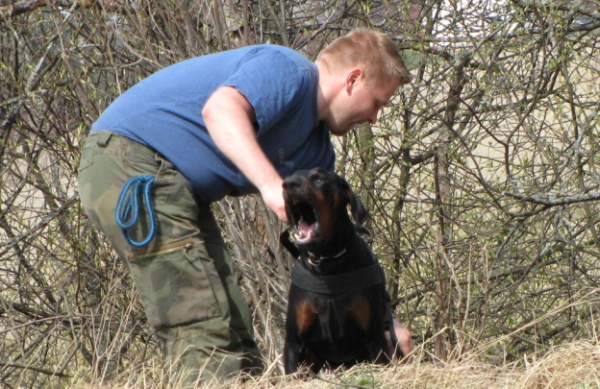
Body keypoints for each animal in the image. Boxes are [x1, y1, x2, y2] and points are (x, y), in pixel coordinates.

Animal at [278, 167, 400, 372]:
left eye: (319, 178)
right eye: (289, 176)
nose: (288, 184)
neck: (328, 262)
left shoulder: (375, 341)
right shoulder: (293, 344)